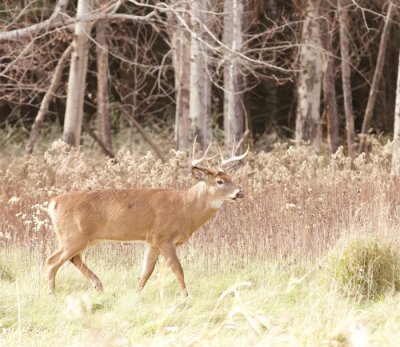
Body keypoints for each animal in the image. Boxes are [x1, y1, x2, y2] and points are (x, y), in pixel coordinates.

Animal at [46, 140, 247, 298]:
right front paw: (186, 296)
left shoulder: (151, 241)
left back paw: (98, 286)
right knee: (52, 262)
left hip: (84, 238)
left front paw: (135, 296)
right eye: (219, 181)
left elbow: (145, 272)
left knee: (72, 259)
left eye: (231, 177)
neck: (185, 209)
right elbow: (178, 269)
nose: (240, 192)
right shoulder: (164, 237)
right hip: (73, 236)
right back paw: (52, 293)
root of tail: (53, 203)